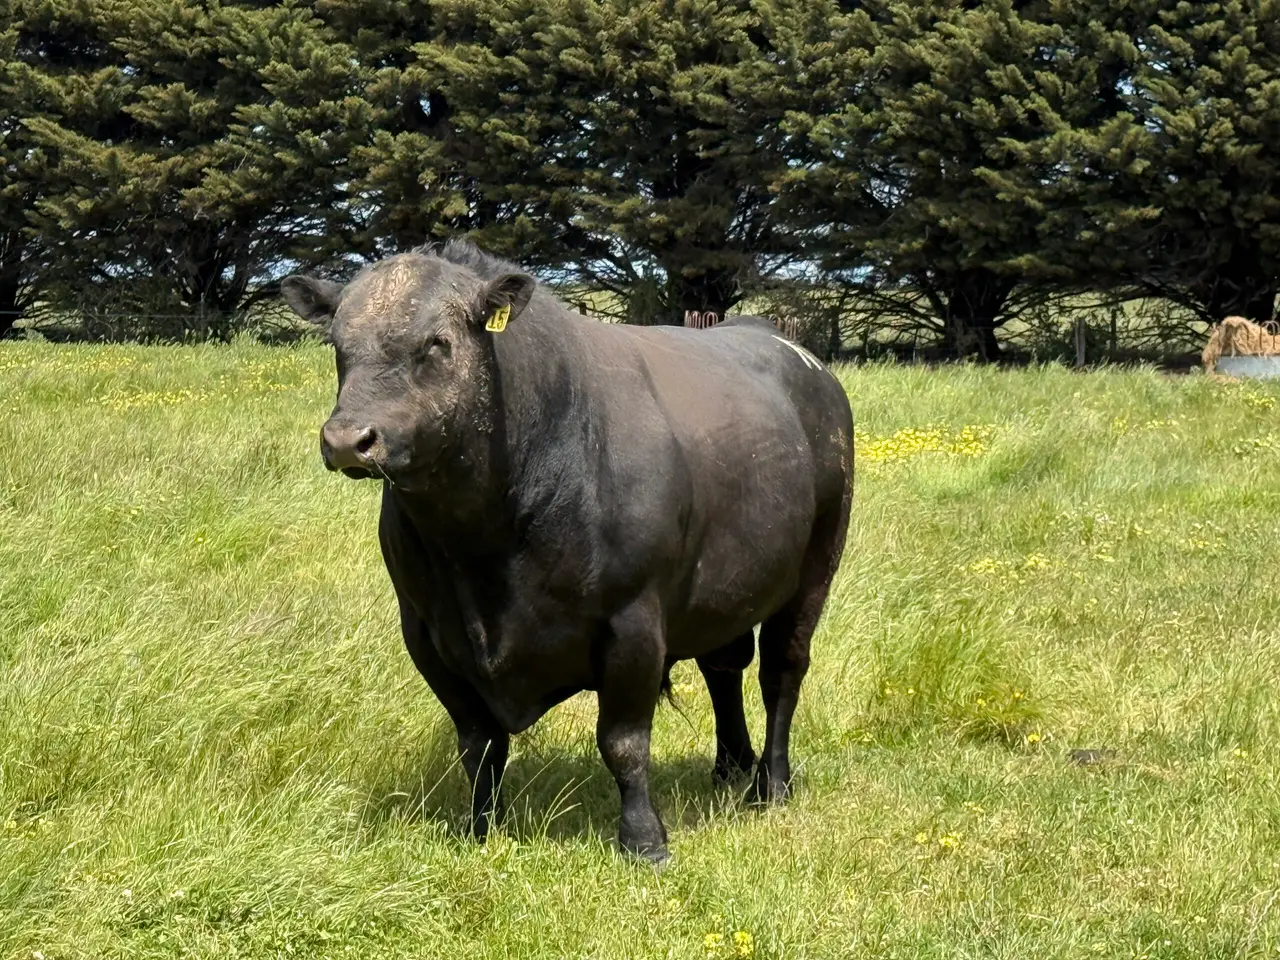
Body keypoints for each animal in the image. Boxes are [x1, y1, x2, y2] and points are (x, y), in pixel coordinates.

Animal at [280, 240, 853, 863]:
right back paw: (730, 765)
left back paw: (770, 783)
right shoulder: (426, 632)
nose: (347, 440)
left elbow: (623, 742)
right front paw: (480, 829)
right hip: (726, 586)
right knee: (723, 666)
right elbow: (478, 745)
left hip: (815, 567)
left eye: (437, 342)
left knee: (781, 672)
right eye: (338, 345)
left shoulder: (633, 622)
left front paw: (644, 841)